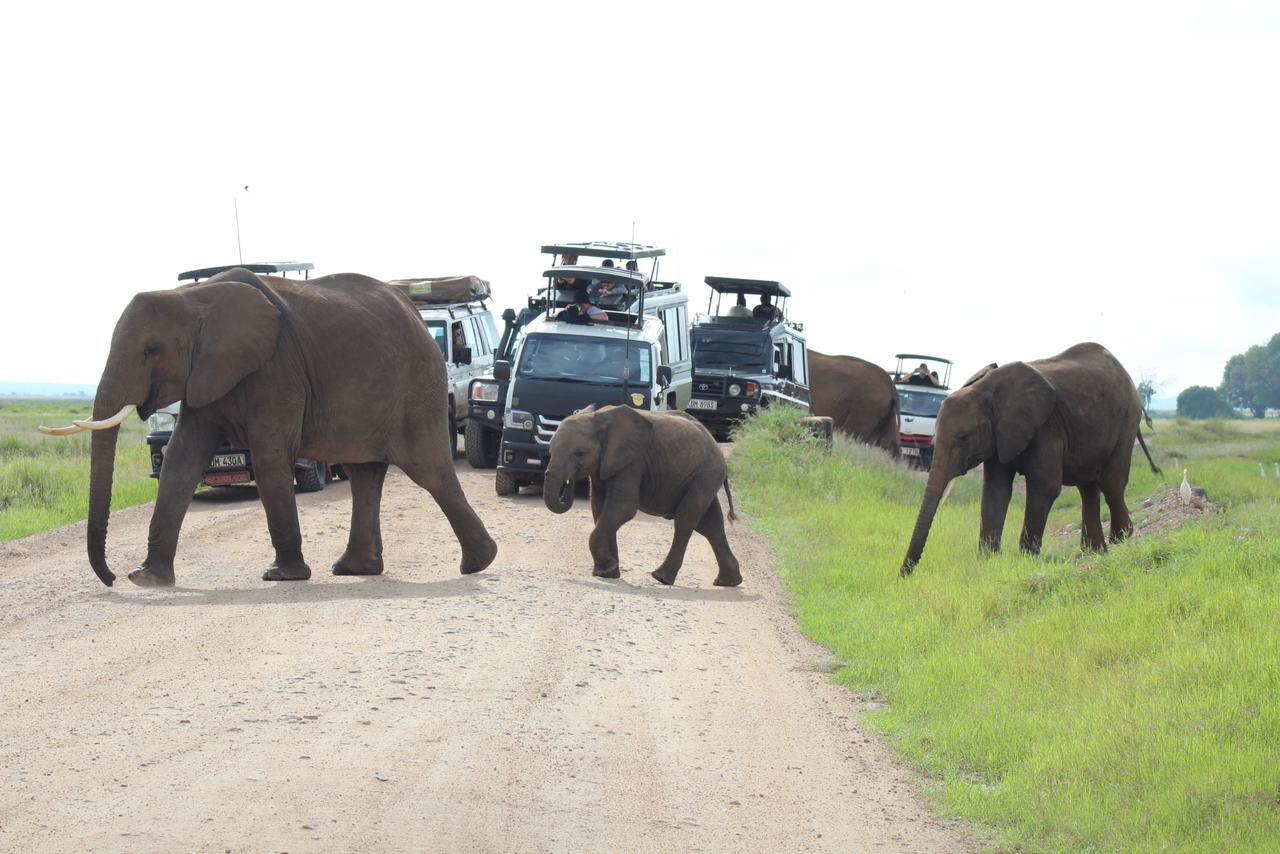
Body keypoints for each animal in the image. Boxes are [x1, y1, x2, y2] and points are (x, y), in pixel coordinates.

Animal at [41, 267, 498, 587]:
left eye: (152, 350)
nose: (111, 578)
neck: (194, 299)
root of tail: (417, 317)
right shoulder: (206, 375)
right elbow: (180, 460)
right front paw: (148, 579)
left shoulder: (276, 369)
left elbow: (269, 458)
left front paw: (282, 575)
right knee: (365, 475)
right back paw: (355, 569)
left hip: (416, 386)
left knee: (429, 471)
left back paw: (478, 563)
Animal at [542, 405, 741, 587]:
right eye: (550, 450)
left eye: (580, 453)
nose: (569, 483)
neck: (598, 418)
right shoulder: (603, 466)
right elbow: (600, 509)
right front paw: (608, 573)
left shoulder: (632, 461)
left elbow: (623, 507)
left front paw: (605, 571)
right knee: (710, 525)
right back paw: (728, 582)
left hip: (706, 473)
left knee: (686, 519)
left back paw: (661, 578)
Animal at [900, 342, 1160, 576]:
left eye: (963, 437)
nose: (904, 575)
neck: (985, 389)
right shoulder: (1000, 436)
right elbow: (996, 490)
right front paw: (988, 560)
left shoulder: (1045, 427)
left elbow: (1045, 486)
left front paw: (1025, 560)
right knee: (1087, 487)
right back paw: (1093, 552)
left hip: (1126, 421)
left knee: (1111, 482)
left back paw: (1121, 538)